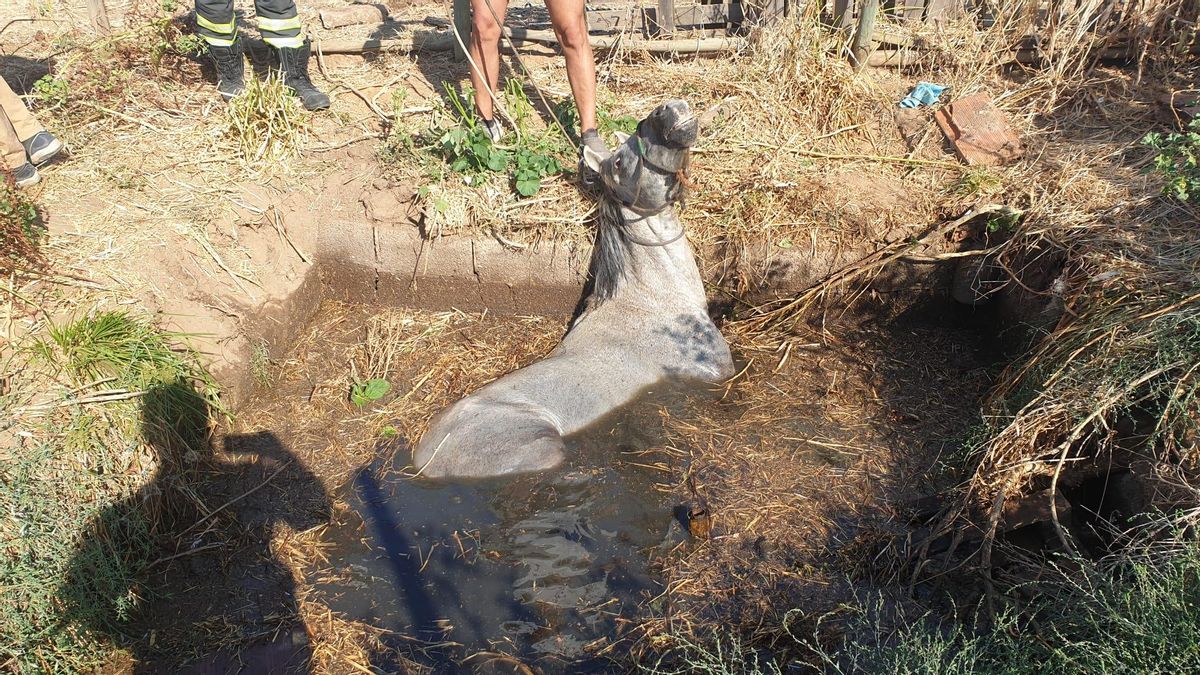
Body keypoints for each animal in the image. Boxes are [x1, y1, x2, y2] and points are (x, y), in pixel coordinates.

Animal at [412, 100, 729, 478]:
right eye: (618, 162)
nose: (666, 110)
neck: (657, 302)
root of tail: (424, 461)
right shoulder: (716, 371)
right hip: (543, 449)